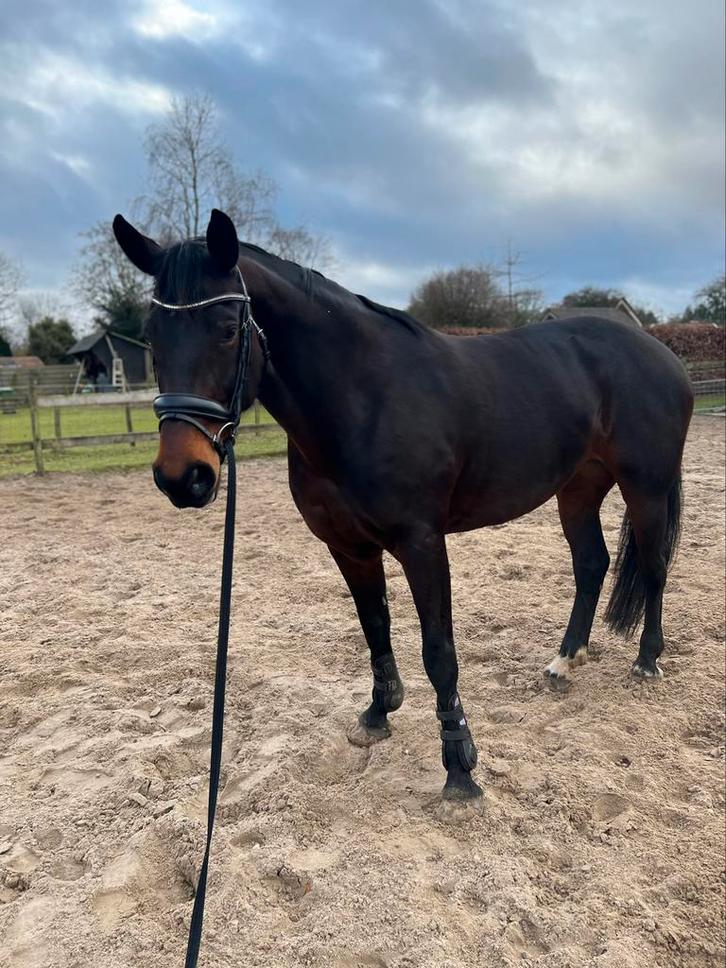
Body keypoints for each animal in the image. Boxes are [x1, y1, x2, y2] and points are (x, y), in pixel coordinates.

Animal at [113, 208, 693, 802]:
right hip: (577, 490)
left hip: (645, 488)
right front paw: (378, 713)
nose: (183, 477)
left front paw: (460, 767)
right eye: (152, 337)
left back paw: (647, 661)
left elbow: (439, 651)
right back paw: (565, 660)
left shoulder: (422, 543)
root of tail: (662, 354)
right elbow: (374, 625)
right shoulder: (349, 547)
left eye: (229, 330)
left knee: (653, 567)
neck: (362, 399)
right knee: (591, 564)